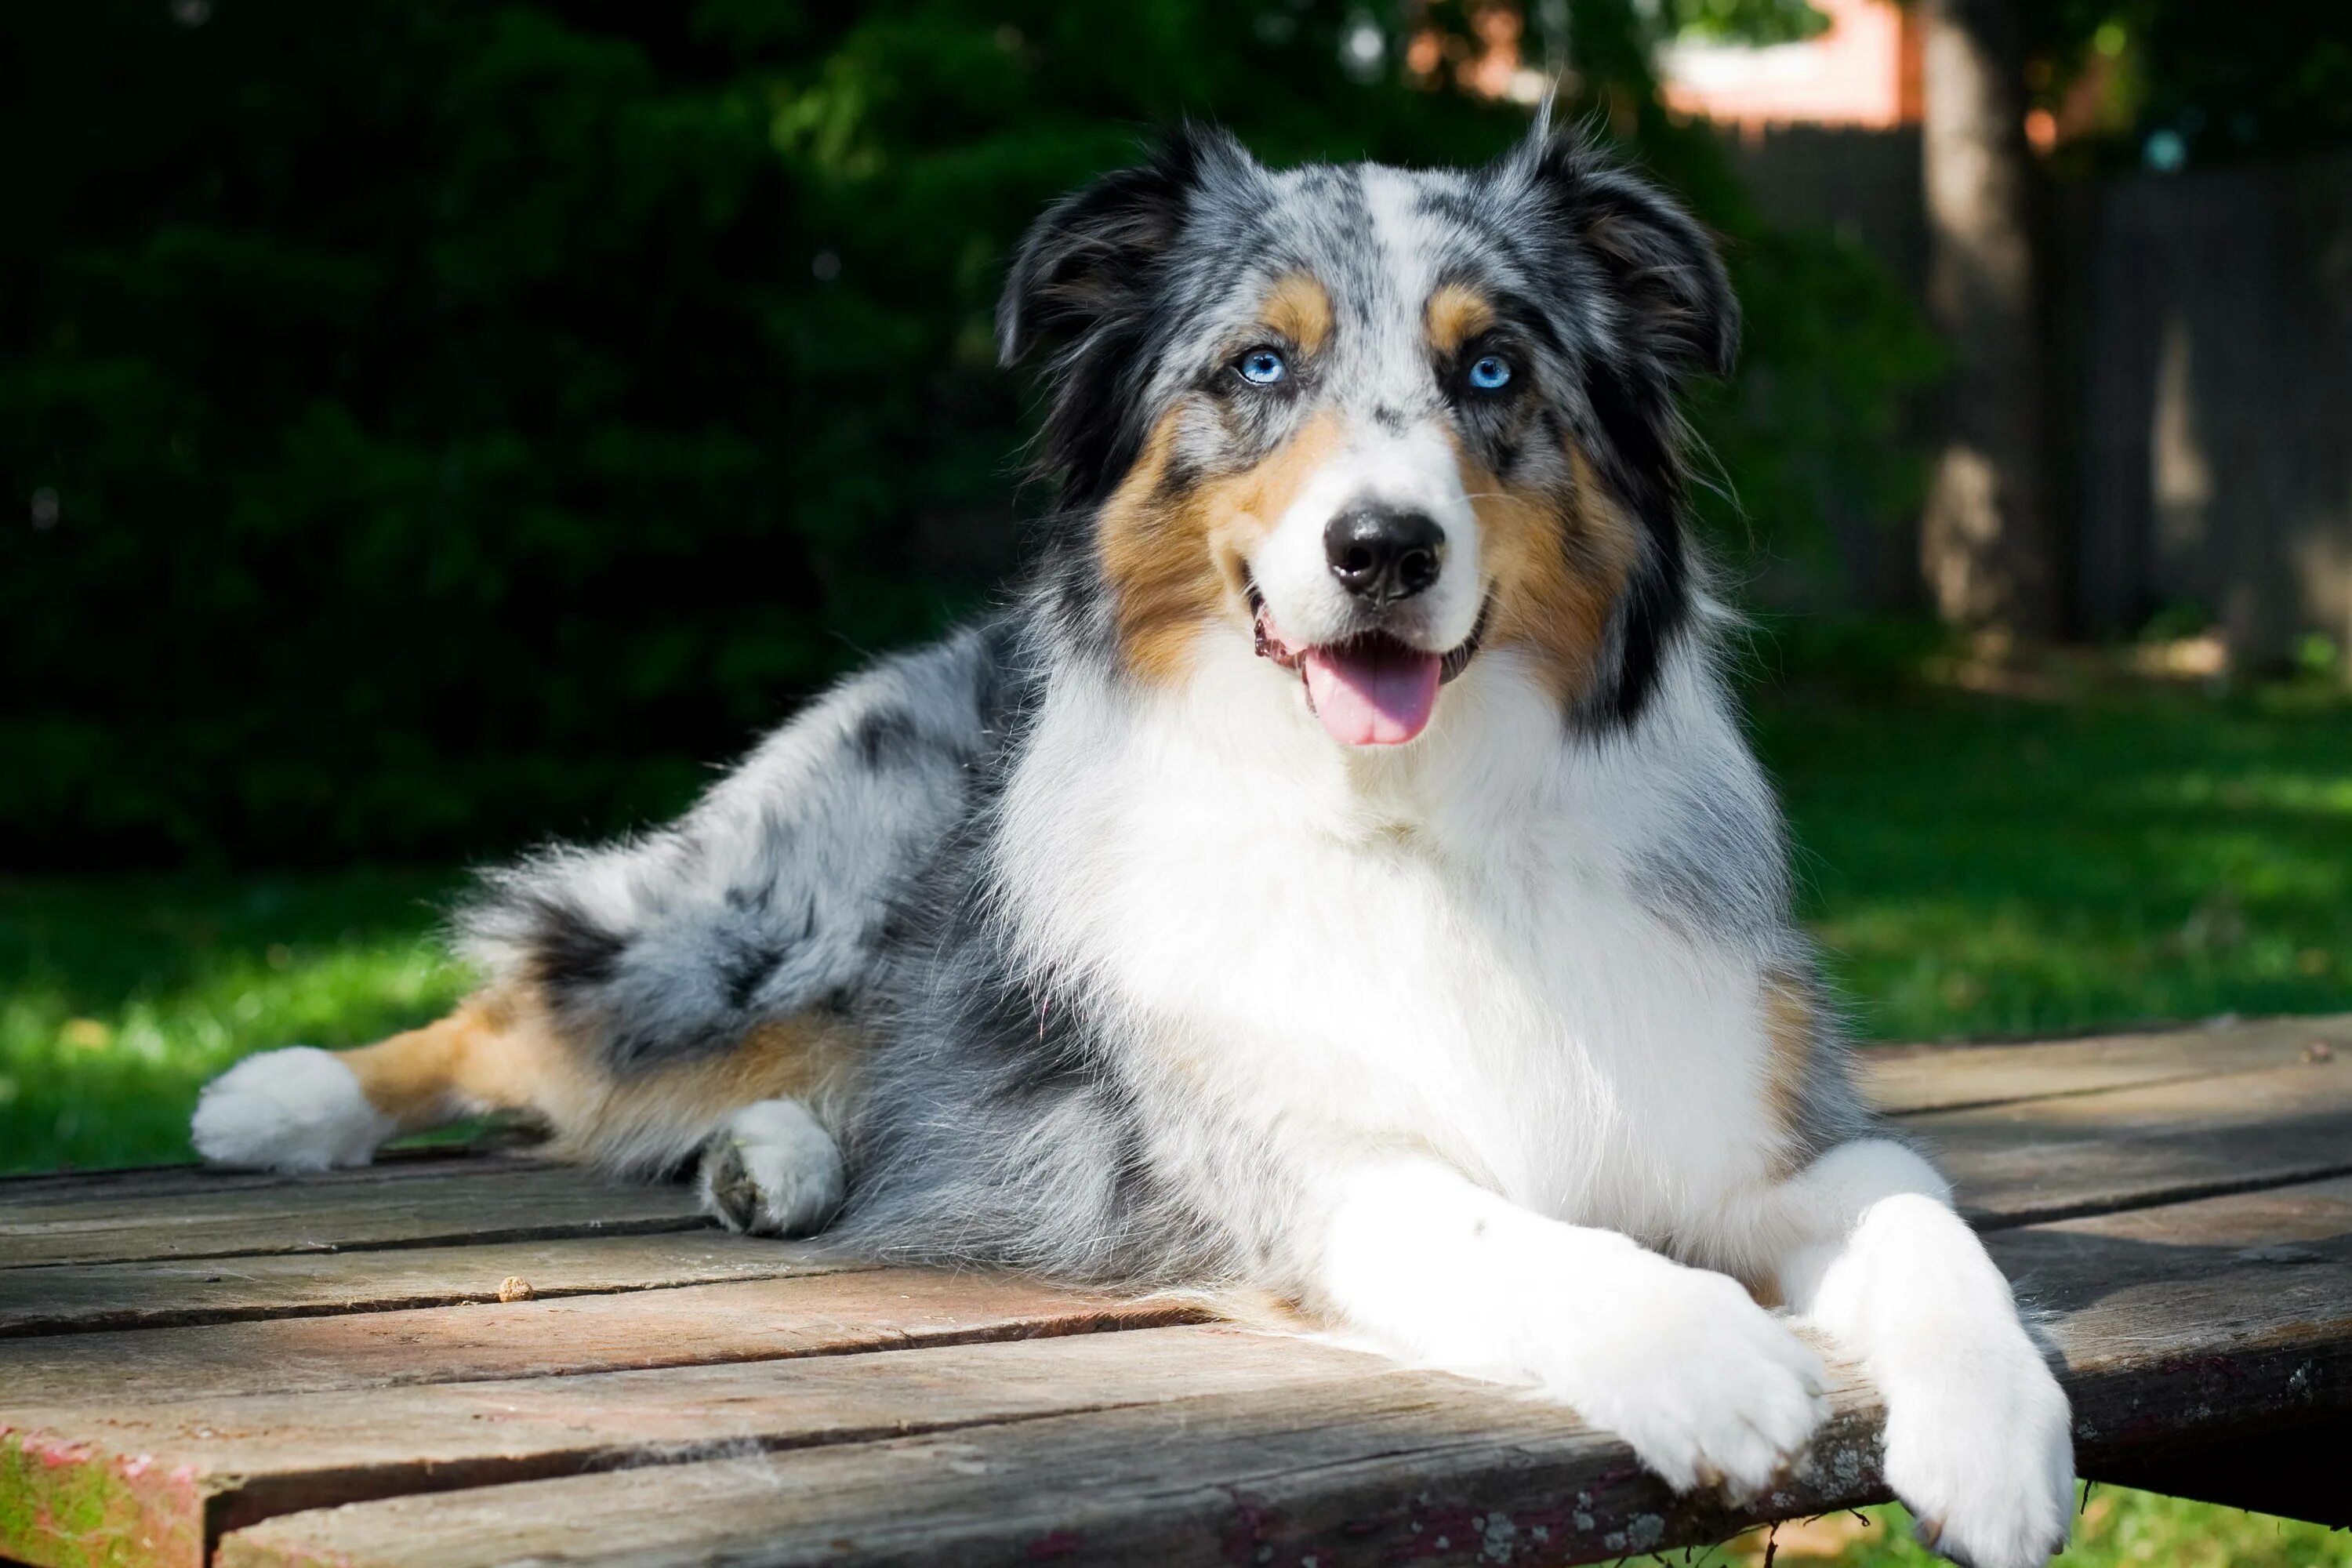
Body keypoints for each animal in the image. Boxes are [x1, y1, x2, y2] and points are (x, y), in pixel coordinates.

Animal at [198, 116, 2079, 1561]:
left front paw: (2000, 1441)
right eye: (1260, 366)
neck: (1411, 825)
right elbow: (1513, 1233)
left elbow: (1924, 1213)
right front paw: (1710, 1355)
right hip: (766, 933)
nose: (1384, 547)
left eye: (1494, 367)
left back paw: (777, 1162)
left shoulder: (1765, 1134)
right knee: (535, 1001)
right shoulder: (1297, 1174)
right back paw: (285, 1098)